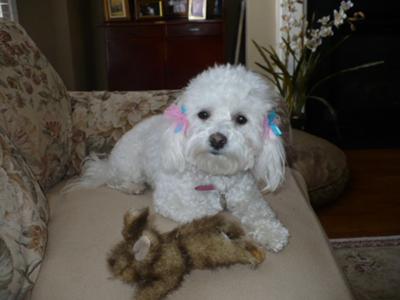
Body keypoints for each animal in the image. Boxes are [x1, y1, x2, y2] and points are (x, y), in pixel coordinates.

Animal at [74, 64, 288, 252]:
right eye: (203, 114)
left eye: (241, 119)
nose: (217, 139)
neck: (215, 173)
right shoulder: (170, 201)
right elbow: (207, 211)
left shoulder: (249, 197)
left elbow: (261, 212)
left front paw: (273, 233)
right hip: (130, 165)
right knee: (114, 180)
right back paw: (132, 186)